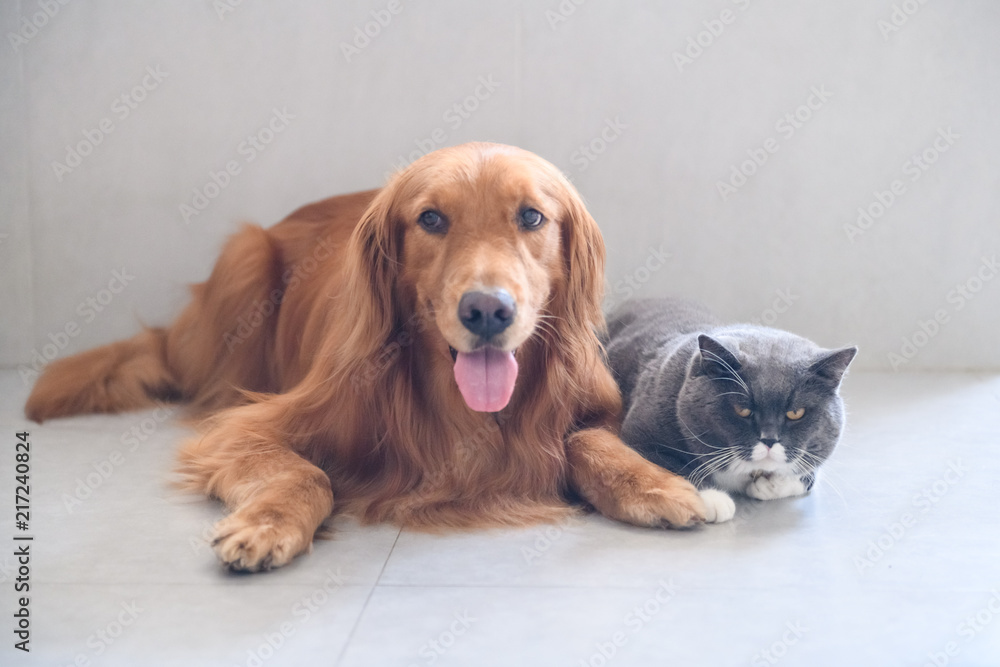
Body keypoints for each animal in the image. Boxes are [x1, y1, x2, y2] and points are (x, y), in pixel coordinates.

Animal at [29, 144, 704, 572]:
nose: (487, 311)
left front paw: (656, 485)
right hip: (245, 260)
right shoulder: (248, 428)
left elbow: (590, 440)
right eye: (431, 218)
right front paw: (267, 524)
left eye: (532, 216)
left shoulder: (588, 406)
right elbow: (309, 473)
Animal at [604, 300, 856, 524]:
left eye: (796, 413)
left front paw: (770, 484)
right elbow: (667, 464)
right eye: (742, 410)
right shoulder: (638, 434)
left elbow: (807, 472)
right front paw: (710, 498)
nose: (769, 440)